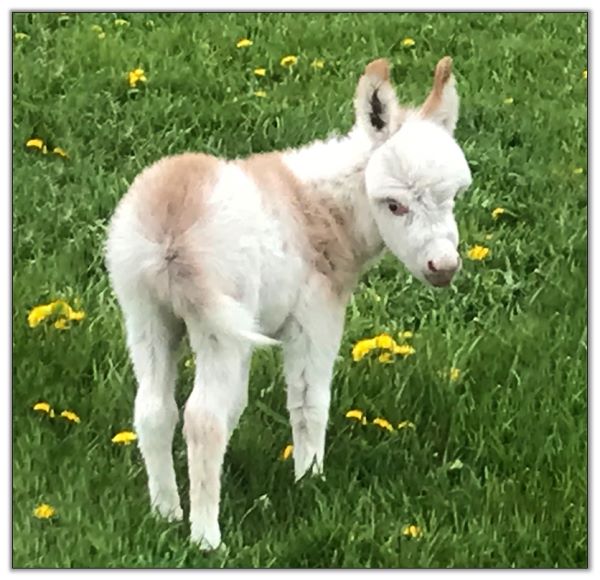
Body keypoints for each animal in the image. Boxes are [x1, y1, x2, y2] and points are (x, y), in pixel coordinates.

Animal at [106, 55, 474, 548]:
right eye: (394, 205)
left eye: (453, 197)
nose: (444, 267)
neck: (320, 210)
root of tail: (171, 218)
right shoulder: (315, 318)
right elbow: (308, 401)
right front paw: (311, 483)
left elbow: (242, 404)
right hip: (216, 324)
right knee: (202, 419)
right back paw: (206, 537)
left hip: (146, 315)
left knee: (153, 410)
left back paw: (166, 513)